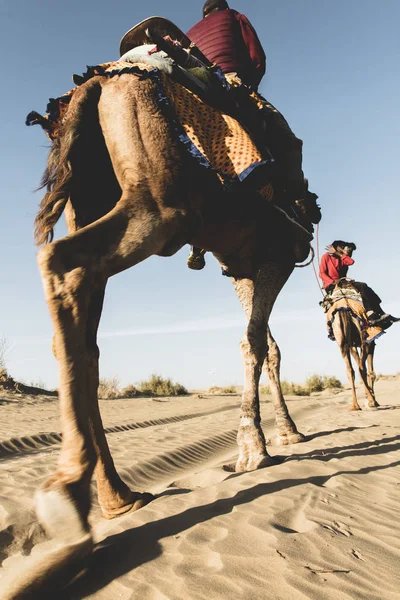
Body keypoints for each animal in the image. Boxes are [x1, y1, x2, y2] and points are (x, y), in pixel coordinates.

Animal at [31, 68, 312, 548]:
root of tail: (96, 86)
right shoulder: (277, 256)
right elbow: (256, 343)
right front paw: (254, 450)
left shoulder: (241, 268)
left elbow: (265, 345)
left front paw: (284, 435)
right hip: (160, 209)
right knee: (63, 262)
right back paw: (68, 491)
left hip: (89, 203)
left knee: (85, 340)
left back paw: (117, 498)